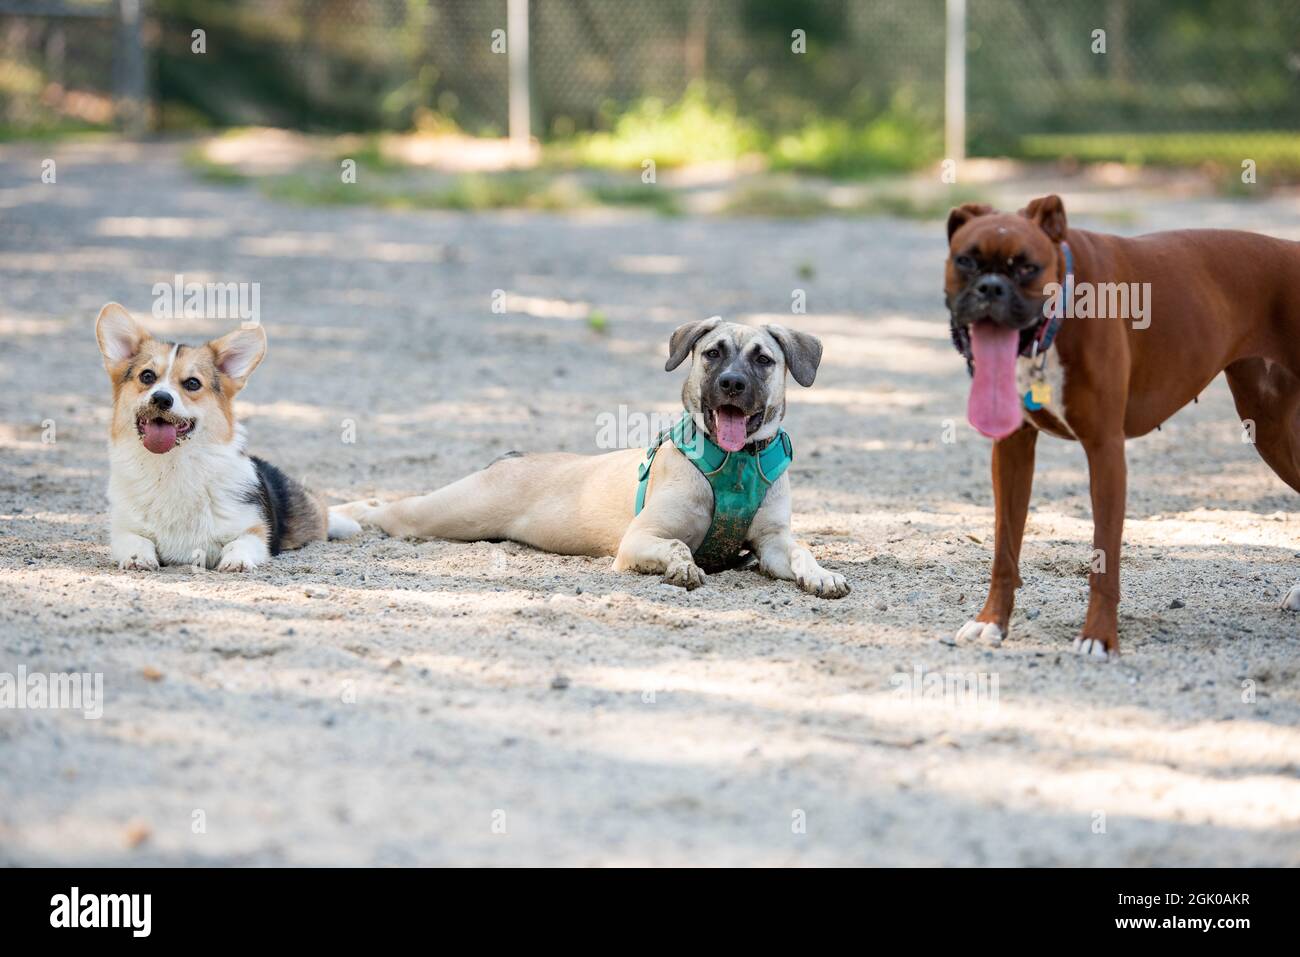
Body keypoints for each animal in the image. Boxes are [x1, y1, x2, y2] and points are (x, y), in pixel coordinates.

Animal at [94, 302, 361, 572]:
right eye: (147, 376)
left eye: (192, 383)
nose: (161, 398)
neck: (171, 464)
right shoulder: (124, 530)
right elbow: (136, 541)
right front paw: (138, 559)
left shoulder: (254, 531)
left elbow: (240, 543)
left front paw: (237, 562)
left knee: (322, 512)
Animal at [330, 317, 847, 595]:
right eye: (713, 353)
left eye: (763, 359)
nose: (732, 384)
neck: (733, 463)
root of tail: (513, 458)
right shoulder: (639, 540)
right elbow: (677, 546)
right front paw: (682, 566)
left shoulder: (773, 543)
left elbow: (800, 550)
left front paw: (822, 575)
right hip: (446, 514)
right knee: (386, 508)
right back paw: (342, 515)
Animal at [946, 195, 1300, 657]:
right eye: (966, 260)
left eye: (1027, 267)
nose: (991, 288)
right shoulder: (1012, 450)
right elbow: (1005, 547)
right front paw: (991, 622)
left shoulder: (1106, 450)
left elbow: (1105, 559)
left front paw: (1098, 637)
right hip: (1270, 430)